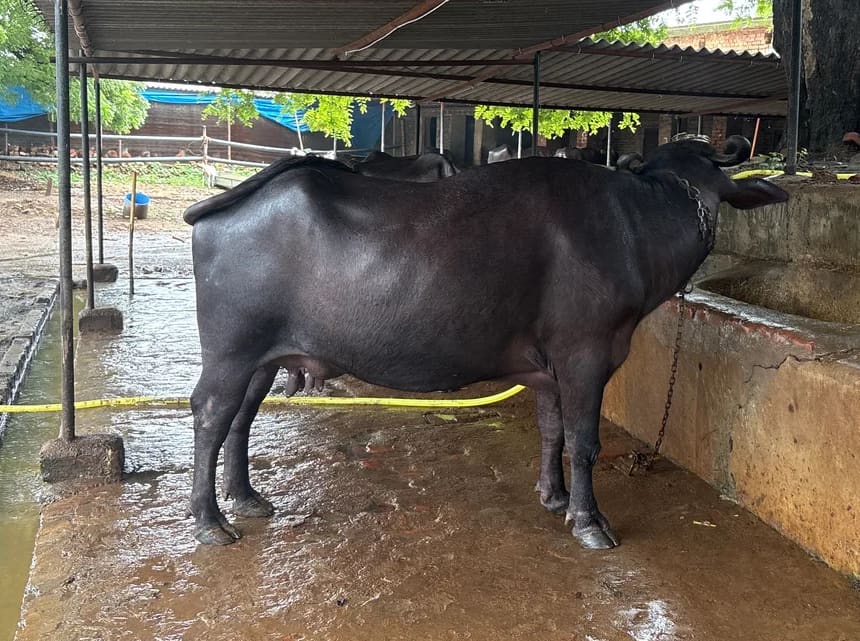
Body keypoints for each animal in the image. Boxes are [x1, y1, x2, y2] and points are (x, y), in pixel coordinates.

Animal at [183, 135, 788, 547]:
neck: (633, 225)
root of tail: (237, 198)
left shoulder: (548, 369)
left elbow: (552, 431)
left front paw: (554, 497)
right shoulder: (586, 354)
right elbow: (584, 441)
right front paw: (590, 521)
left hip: (263, 357)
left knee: (242, 416)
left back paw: (246, 498)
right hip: (230, 351)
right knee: (211, 413)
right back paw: (211, 520)